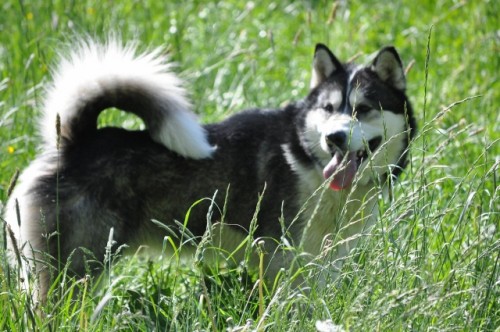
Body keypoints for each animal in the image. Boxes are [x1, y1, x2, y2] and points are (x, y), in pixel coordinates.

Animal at [3, 39, 416, 304]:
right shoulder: (281, 261)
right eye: (330, 109)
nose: (334, 138)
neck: (306, 160)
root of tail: (74, 142)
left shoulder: (320, 264)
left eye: (363, 109)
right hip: (76, 270)